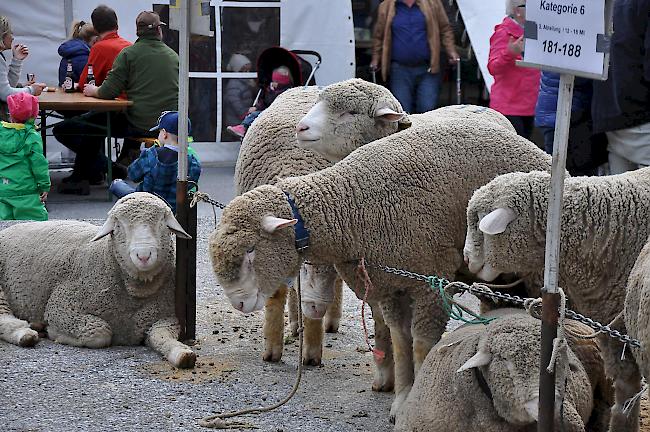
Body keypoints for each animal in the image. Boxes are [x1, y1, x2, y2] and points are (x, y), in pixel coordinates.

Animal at [0, 193, 197, 368]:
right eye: (118, 225)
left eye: (162, 222)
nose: (143, 255)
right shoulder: (61, 307)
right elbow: (100, 332)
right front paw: (56, 333)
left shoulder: (166, 318)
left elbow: (162, 337)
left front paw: (183, 354)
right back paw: (25, 333)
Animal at [209, 116, 552, 420]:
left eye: (251, 250)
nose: (239, 304)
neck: (350, 205)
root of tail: (540, 153)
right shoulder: (389, 284)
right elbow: (400, 341)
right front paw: (401, 396)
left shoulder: (431, 283)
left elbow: (422, 344)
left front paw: (414, 400)